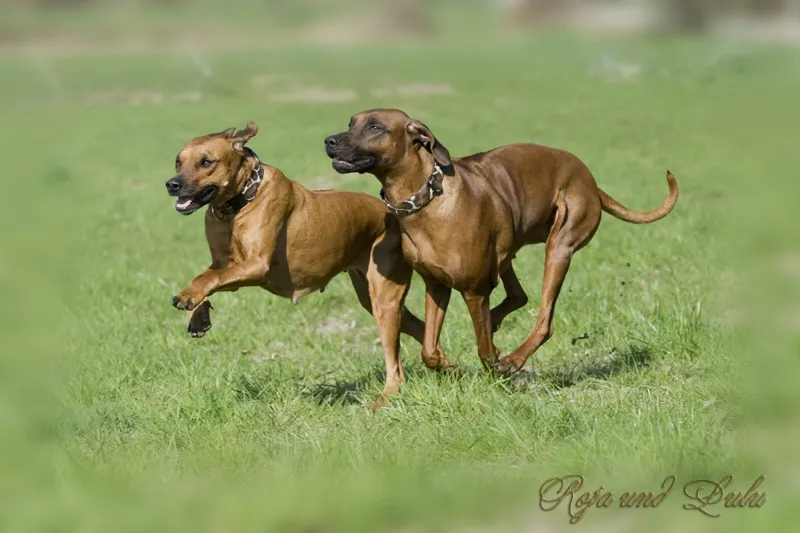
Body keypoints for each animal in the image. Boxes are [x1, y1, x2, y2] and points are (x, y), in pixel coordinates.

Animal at [166, 121, 428, 408]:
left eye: (206, 162)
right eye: (178, 161)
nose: (172, 184)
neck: (238, 202)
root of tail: (393, 214)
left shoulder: (257, 265)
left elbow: (210, 279)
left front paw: (188, 297)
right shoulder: (222, 261)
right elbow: (205, 276)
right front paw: (198, 313)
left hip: (383, 297)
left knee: (396, 365)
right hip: (370, 297)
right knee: (419, 327)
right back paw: (443, 367)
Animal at [322, 109, 680, 374]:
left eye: (375, 126)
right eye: (350, 123)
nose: (329, 140)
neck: (426, 199)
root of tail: (591, 182)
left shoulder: (474, 290)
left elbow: (483, 350)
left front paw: (494, 365)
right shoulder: (437, 285)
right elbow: (428, 350)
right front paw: (451, 367)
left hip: (560, 248)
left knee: (543, 319)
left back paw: (513, 360)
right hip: (508, 245)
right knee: (518, 294)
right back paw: (497, 324)